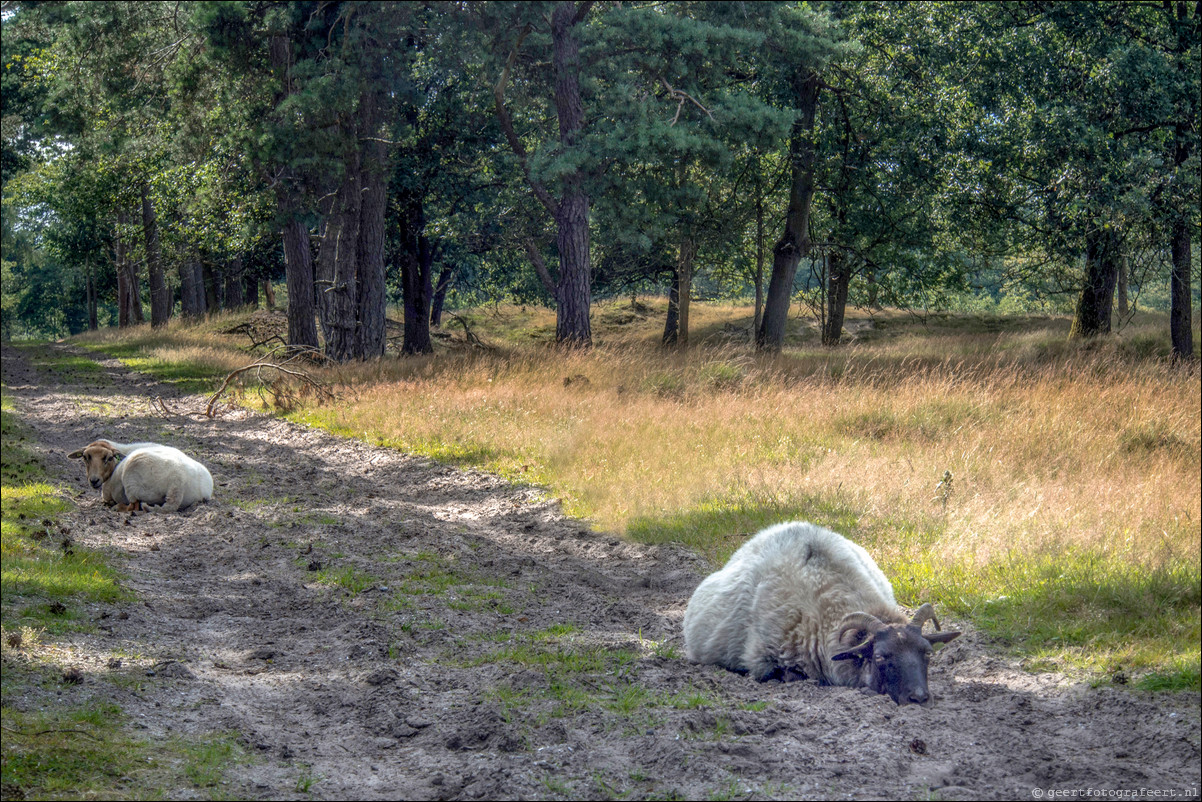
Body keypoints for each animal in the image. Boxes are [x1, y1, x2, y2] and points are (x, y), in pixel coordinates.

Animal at [68, 440, 215, 514]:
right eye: (85, 457)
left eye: (109, 458)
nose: (94, 480)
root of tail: (178, 482)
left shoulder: (107, 493)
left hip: (133, 478)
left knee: (134, 506)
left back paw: (118, 508)